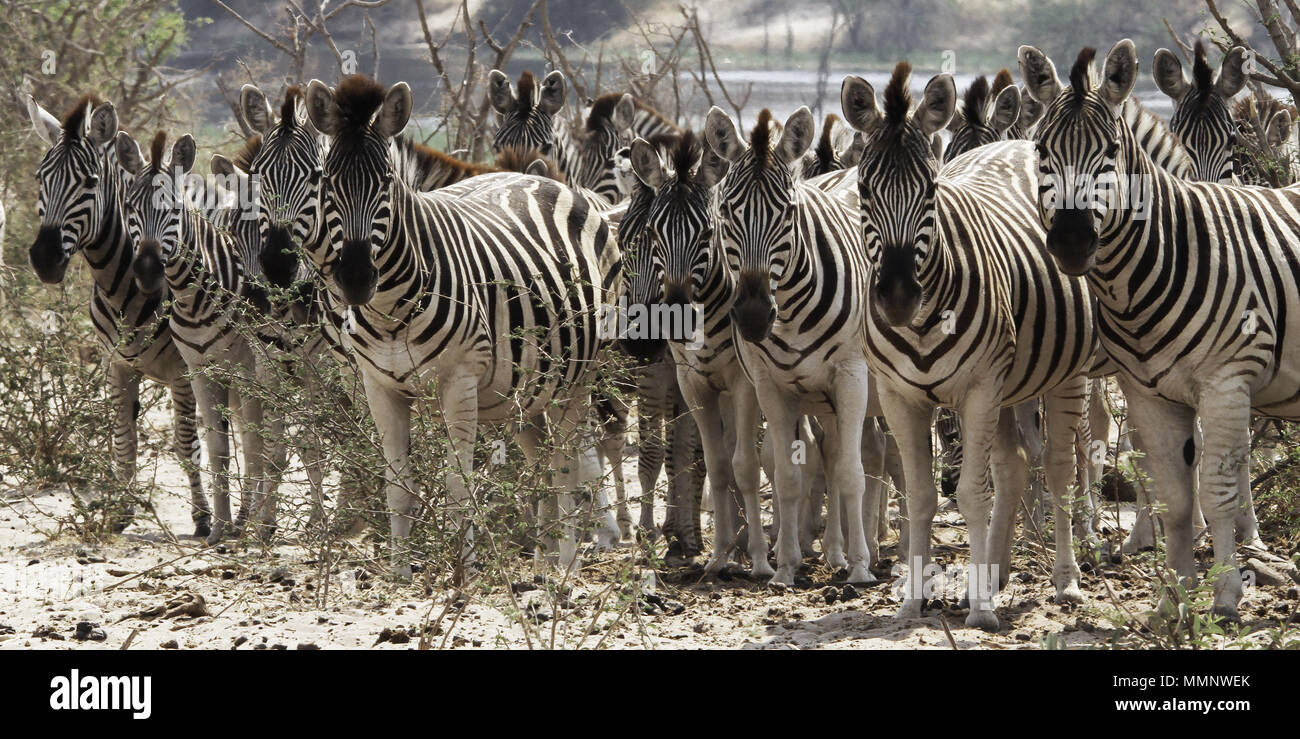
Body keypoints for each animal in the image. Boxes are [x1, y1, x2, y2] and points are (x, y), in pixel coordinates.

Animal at [25, 95, 207, 537]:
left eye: (90, 182)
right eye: (40, 177)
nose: (44, 259)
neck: (119, 285)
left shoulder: (182, 370)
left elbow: (186, 442)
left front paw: (202, 518)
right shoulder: (116, 365)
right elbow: (124, 439)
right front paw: (121, 512)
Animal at [115, 130, 277, 545]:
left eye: (174, 209)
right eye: (129, 207)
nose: (148, 271)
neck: (194, 300)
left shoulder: (247, 371)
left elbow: (253, 447)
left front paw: (245, 525)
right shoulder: (202, 371)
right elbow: (219, 449)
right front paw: (219, 527)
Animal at [303, 74, 614, 576]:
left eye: (386, 183)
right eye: (327, 183)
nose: (354, 279)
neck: (389, 311)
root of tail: (540, 175)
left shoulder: (460, 381)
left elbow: (457, 485)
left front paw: (462, 570)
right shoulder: (378, 385)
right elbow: (397, 488)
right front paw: (400, 572)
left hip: (578, 376)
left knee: (568, 460)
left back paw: (567, 561)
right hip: (524, 387)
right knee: (542, 458)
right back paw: (544, 559)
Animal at [842, 63, 1095, 629]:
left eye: (931, 189)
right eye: (863, 189)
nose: (896, 296)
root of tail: (1018, 143)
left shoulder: (979, 389)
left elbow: (973, 495)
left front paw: (980, 611)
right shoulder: (900, 396)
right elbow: (920, 496)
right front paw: (913, 600)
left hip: (1063, 374)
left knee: (1059, 469)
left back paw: (1066, 583)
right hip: (1009, 382)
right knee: (1014, 464)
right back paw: (995, 575)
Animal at [1019, 39, 1300, 620]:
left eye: (1109, 151)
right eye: (1040, 151)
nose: (1072, 241)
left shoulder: (1227, 381)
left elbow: (1215, 483)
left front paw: (1226, 588)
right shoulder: (1145, 388)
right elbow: (1170, 487)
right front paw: (1174, 594)